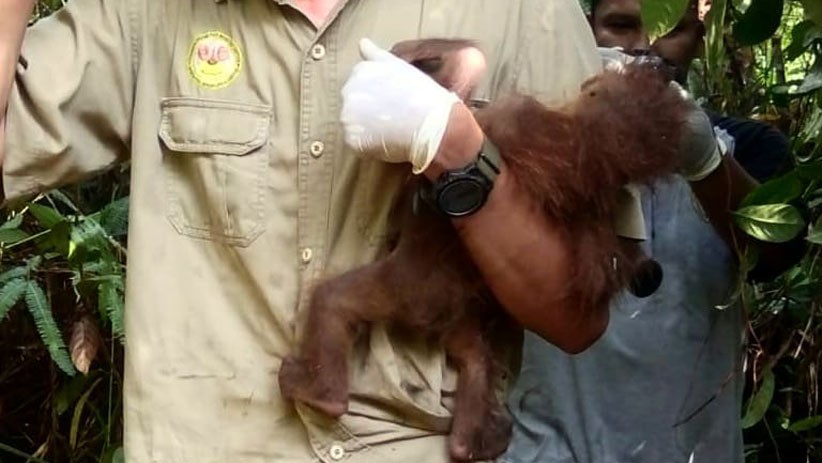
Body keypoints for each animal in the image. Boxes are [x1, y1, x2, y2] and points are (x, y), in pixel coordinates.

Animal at [278, 39, 687, 462]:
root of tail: (430, 315)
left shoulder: (512, 117)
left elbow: (466, 72)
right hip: (458, 317)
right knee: (476, 359)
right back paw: (474, 439)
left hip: (397, 288)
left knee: (333, 301)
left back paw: (319, 392)